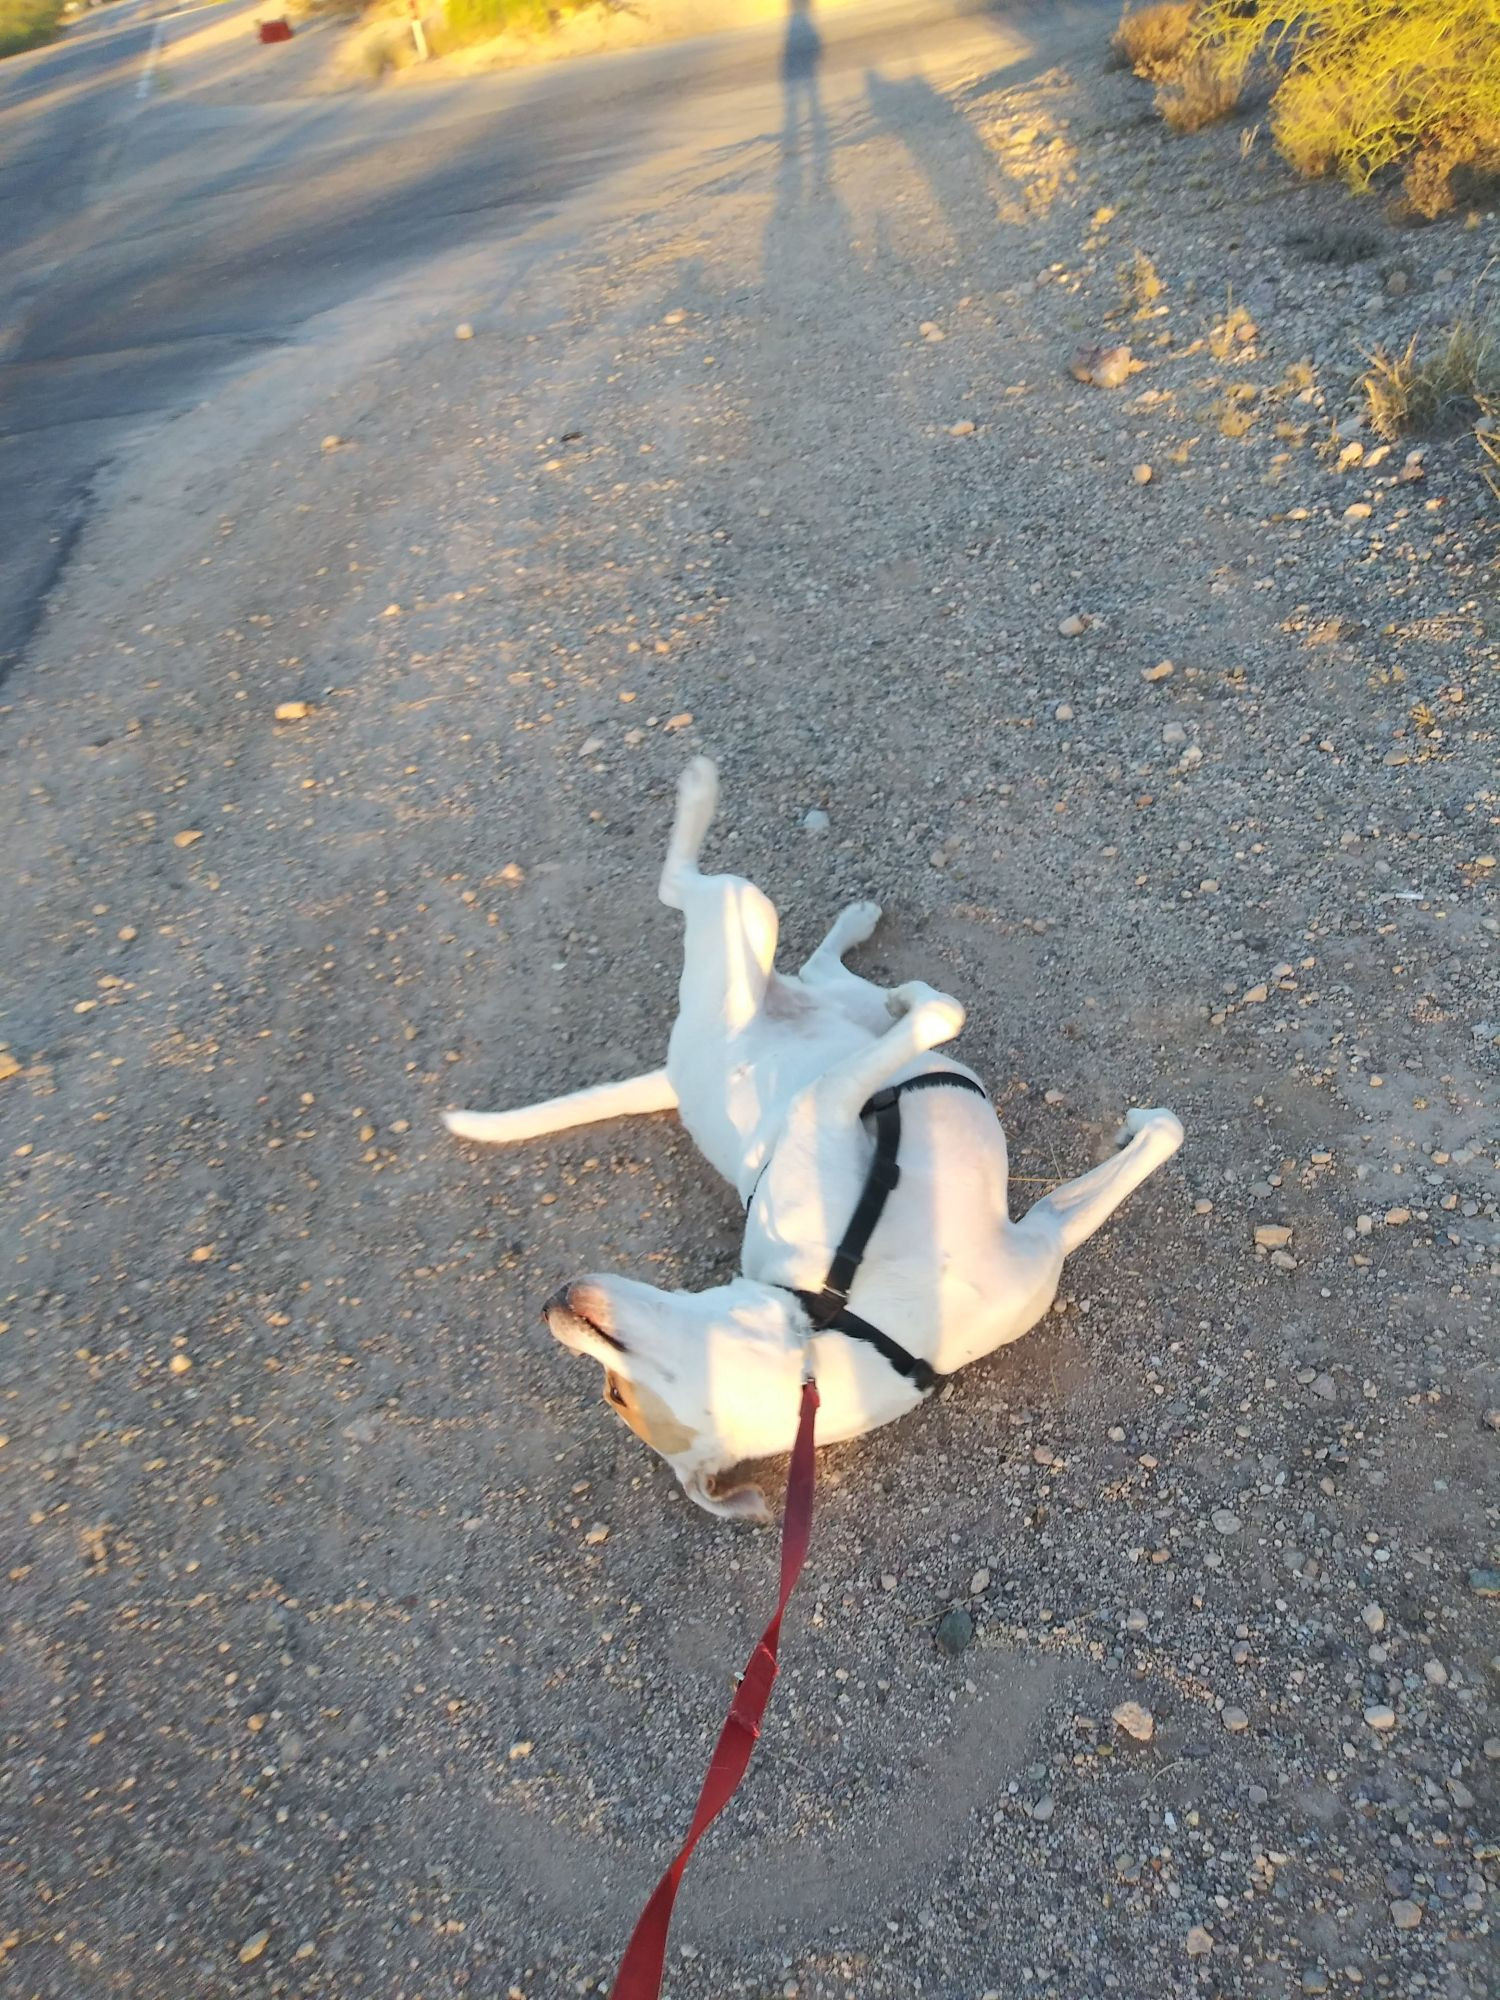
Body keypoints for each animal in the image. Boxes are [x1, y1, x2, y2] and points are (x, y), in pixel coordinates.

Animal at [446, 760, 1184, 1512]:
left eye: (613, 1394)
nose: (548, 1306)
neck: (826, 1331)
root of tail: (674, 1078)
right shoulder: (826, 1110)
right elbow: (943, 1015)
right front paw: (927, 1014)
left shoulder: (1035, 1240)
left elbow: (1162, 1136)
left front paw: (1137, 1128)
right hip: (746, 926)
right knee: (692, 890)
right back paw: (702, 789)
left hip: (782, 962)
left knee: (812, 966)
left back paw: (854, 928)